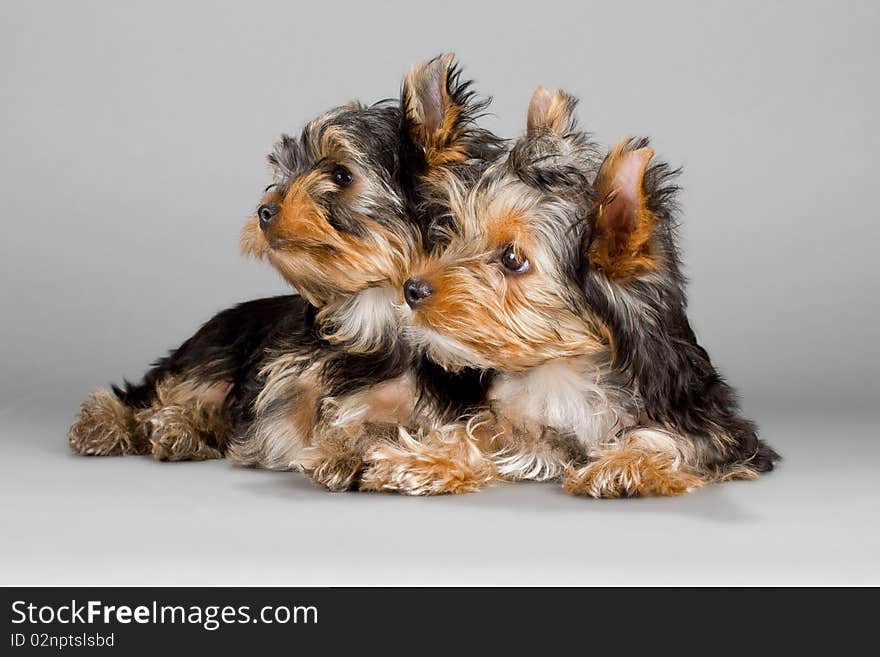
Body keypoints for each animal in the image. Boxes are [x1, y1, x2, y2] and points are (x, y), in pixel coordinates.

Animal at [69, 55, 506, 492]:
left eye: (341, 175)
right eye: (284, 172)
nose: (264, 210)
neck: (373, 309)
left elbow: (391, 426)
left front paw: (357, 449)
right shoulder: (286, 378)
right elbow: (297, 417)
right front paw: (340, 447)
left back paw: (186, 430)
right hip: (212, 352)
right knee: (156, 395)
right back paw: (115, 424)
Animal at [396, 87, 780, 498]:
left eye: (513, 258)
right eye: (454, 232)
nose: (412, 288)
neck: (566, 370)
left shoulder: (715, 428)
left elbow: (676, 441)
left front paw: (625, 465)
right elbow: (482, 428)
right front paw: (426, 459)